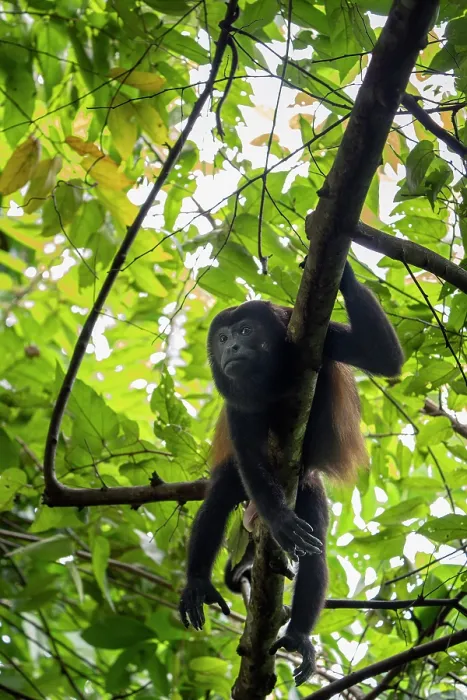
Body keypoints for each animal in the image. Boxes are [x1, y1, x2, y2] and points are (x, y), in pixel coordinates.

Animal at [179, 262, 404, 686]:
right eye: (223, 338)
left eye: (246, 332)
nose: (231, 348)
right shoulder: (235, 401)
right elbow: (248, 455)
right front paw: (281, 520)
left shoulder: (322, 341)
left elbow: (384, 358)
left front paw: (344, 267)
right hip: (242, 484)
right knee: (218, 501)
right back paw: (196, 583)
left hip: (310, 488)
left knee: (317, 547)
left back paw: (298, 634)